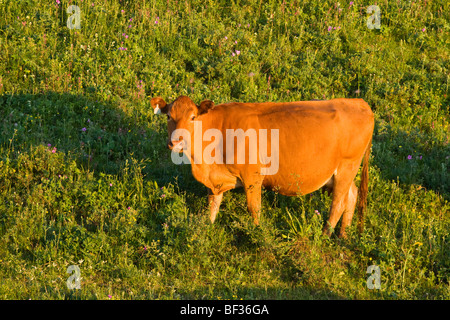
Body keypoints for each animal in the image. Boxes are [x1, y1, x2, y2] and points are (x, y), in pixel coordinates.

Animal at [149, 95, 374, 238]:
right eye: (168, 116)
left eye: (193, 117)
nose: (176, 142)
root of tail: (360, 103)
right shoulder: (215, 180)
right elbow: (212, 206)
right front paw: (206, 229)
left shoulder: (253, 176)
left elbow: (254, 208)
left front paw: (257, 235)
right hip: (341, 174)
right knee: (351, 196)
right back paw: (343, 235)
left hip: (347, 167)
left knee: (338, 204)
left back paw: (325, 237)